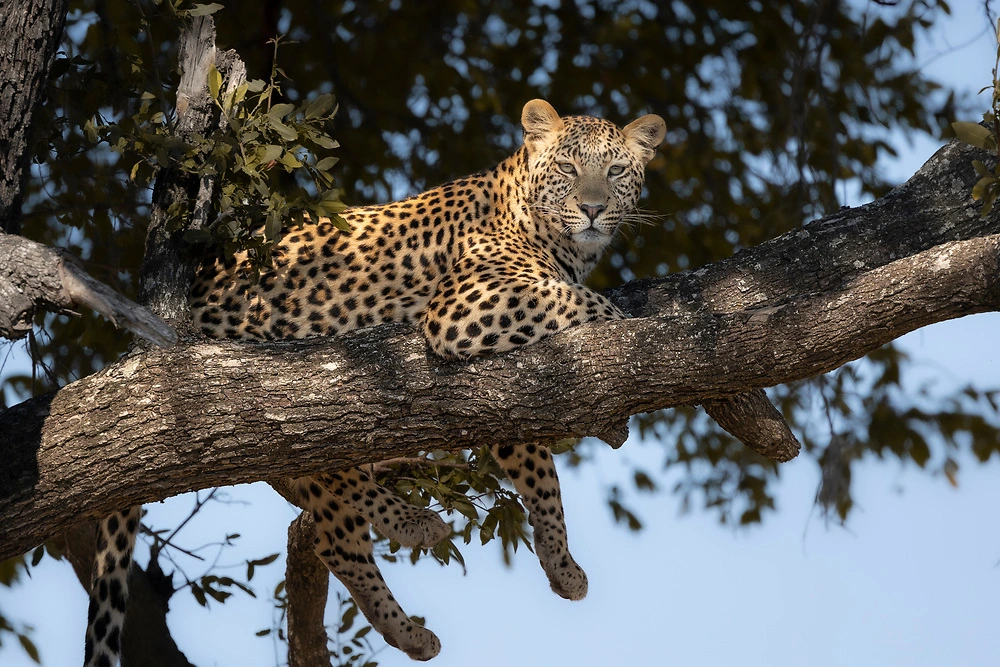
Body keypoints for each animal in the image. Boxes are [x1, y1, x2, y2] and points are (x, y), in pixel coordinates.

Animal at [84, 99, 664, 667]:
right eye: (567, 168)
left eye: (615, 171)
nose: (592, 209)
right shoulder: (466, 304)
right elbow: (579, 301)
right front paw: (630, 333)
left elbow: (541, 475)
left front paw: (561, 563)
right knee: (330, 481)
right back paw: (414, 525)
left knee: (333, 537)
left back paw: (407, 630)